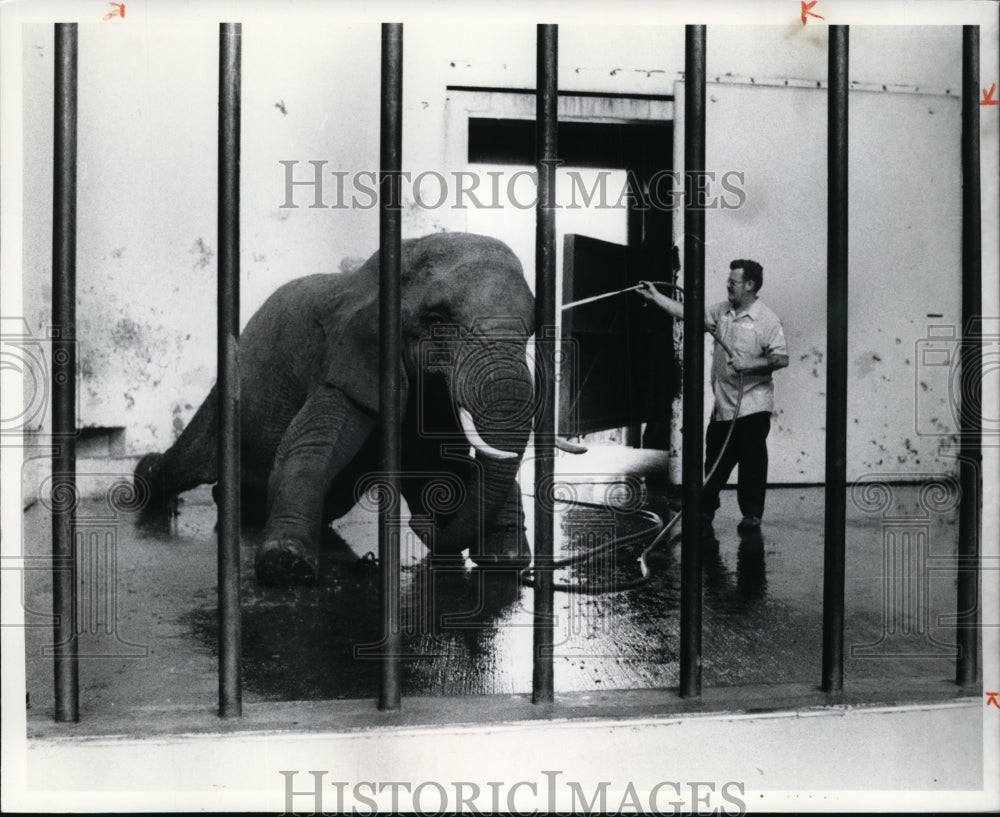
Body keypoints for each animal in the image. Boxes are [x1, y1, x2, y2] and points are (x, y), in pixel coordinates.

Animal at [136, 233, 556, 584]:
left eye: (531, 330)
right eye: (437, 320)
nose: (420, 525)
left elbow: (441, 467)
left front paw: (507, 562)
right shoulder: (345, 363)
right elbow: (312, 447)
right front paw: (286, 564)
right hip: (228, 399)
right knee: (183, 464)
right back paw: (151, 484)